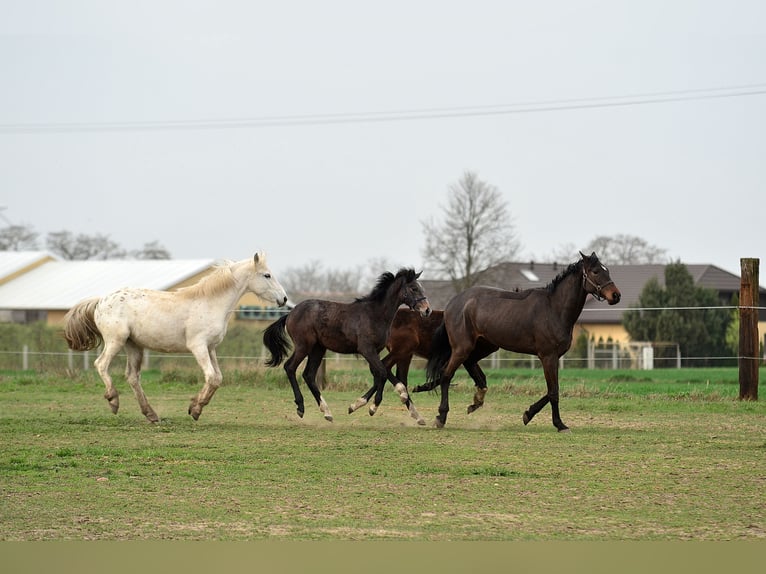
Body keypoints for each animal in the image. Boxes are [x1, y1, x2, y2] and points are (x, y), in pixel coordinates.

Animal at [264, 270, 432, 424]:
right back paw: (301, 407)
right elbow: (382, 373)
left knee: (309, 375)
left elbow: (379, 374)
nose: (427, 310)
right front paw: (373, 407)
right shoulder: (366, 350)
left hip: (318, 349)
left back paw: (326, 412)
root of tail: (290, 314)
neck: (375, 315)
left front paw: (356, 405)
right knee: (290, 367)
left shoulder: (375, 351)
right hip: (303, 346)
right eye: (413, 288)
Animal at [420, 253, 624, 432]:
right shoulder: (548, 357)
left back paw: (476, 401)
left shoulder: (554, 358)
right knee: (446, 375)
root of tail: (452, 304)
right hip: (462, 347)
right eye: (595, 271)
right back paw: (441, 417)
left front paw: (528, 414)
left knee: (469, 367)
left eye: (607, 270)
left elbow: (552, 390)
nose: (616, 295)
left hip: (485, 346)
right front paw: (559, 424)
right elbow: (553, 392)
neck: (554, 309)